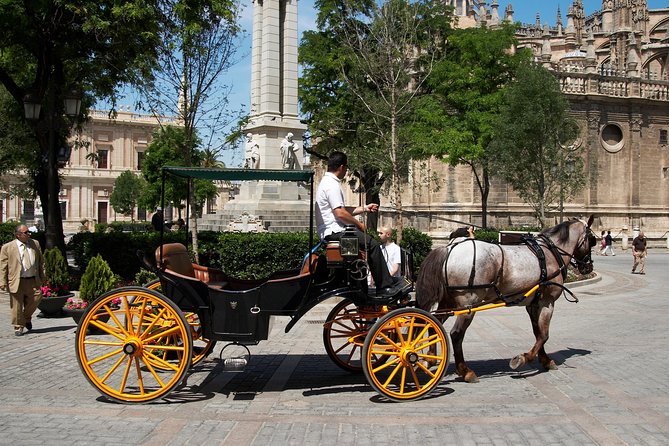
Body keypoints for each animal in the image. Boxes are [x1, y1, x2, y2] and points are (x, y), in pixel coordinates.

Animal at [414, 217, 592, 384]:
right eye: (592, 240)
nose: (588, 267)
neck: (549, 253)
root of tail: (449, 248)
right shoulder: (547, 303)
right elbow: (544, 335)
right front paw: (523, 359)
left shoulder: (533, 304)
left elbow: (537, 333)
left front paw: (545, 360)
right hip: (468, 305)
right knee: (456, 334)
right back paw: (465, 372)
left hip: (448, 302)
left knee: (433, 325)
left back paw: (429, 359)